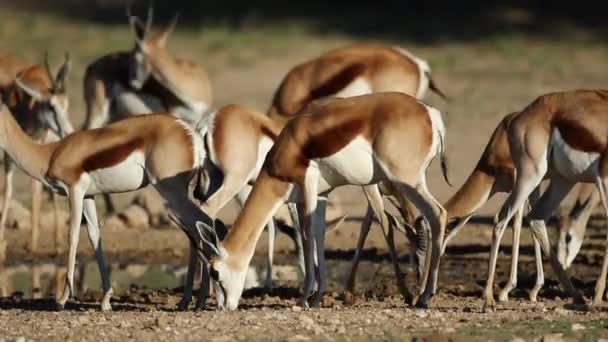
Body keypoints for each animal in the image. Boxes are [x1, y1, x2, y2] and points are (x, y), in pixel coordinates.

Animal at [0, 54, 73, 260]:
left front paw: (33, 243)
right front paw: (2, 244)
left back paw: (56, 244)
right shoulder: (9, 153)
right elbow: (7, 191)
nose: (69, 131)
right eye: (51, 106)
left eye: (67, 104)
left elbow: (35, 188)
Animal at [173, 92, 448, 312]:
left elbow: (307, 235)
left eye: (216, 271)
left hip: (406, 180)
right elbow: (319, 235)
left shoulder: (309, 186)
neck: (289, 145)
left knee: (438, 214)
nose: (224, 307)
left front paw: (305, 298)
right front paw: (316, 298)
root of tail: (430, 114)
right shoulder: (322, 194)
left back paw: (424, 297)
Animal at [484, 89, 608, 310]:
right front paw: (598, 296)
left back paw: (575, 296)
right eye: (567, 238)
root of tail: (520, 115)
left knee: (536, 217)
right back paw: (489, 298)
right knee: (502, 219)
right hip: (531, 176)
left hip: (563, 180)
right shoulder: (603, 177)